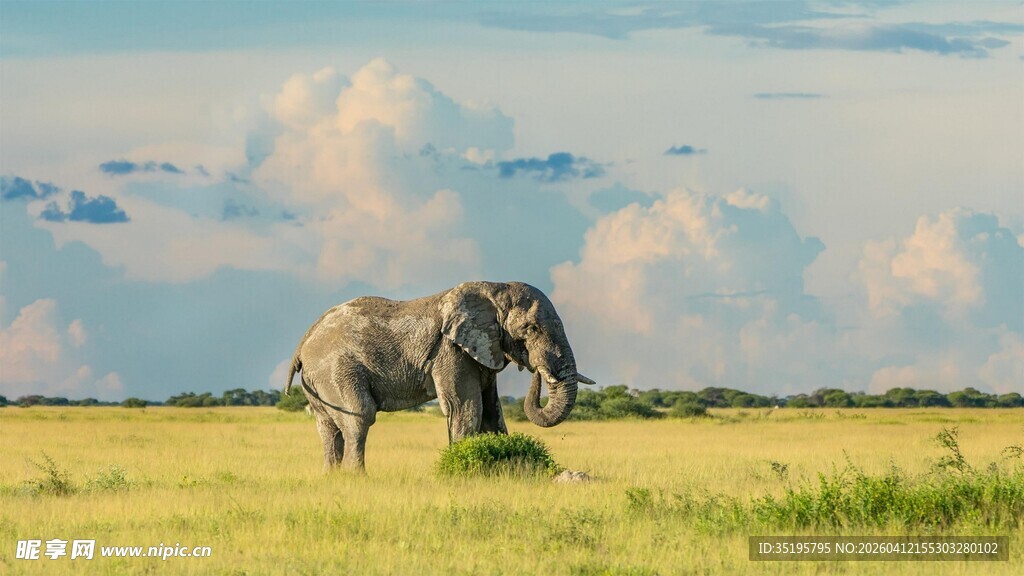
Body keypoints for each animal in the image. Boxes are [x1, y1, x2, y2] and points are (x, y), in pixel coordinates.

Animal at [285, 281, 594, 471]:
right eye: (531, 329)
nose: (538, 372)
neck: (494, 289)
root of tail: (303, 342)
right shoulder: (451, 351)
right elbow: (466, 408)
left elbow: (492, 412)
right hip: (336, 369)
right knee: (359, 417)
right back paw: (356, 477)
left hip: (317, 381)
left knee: (327, 428)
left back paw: (332, 476)